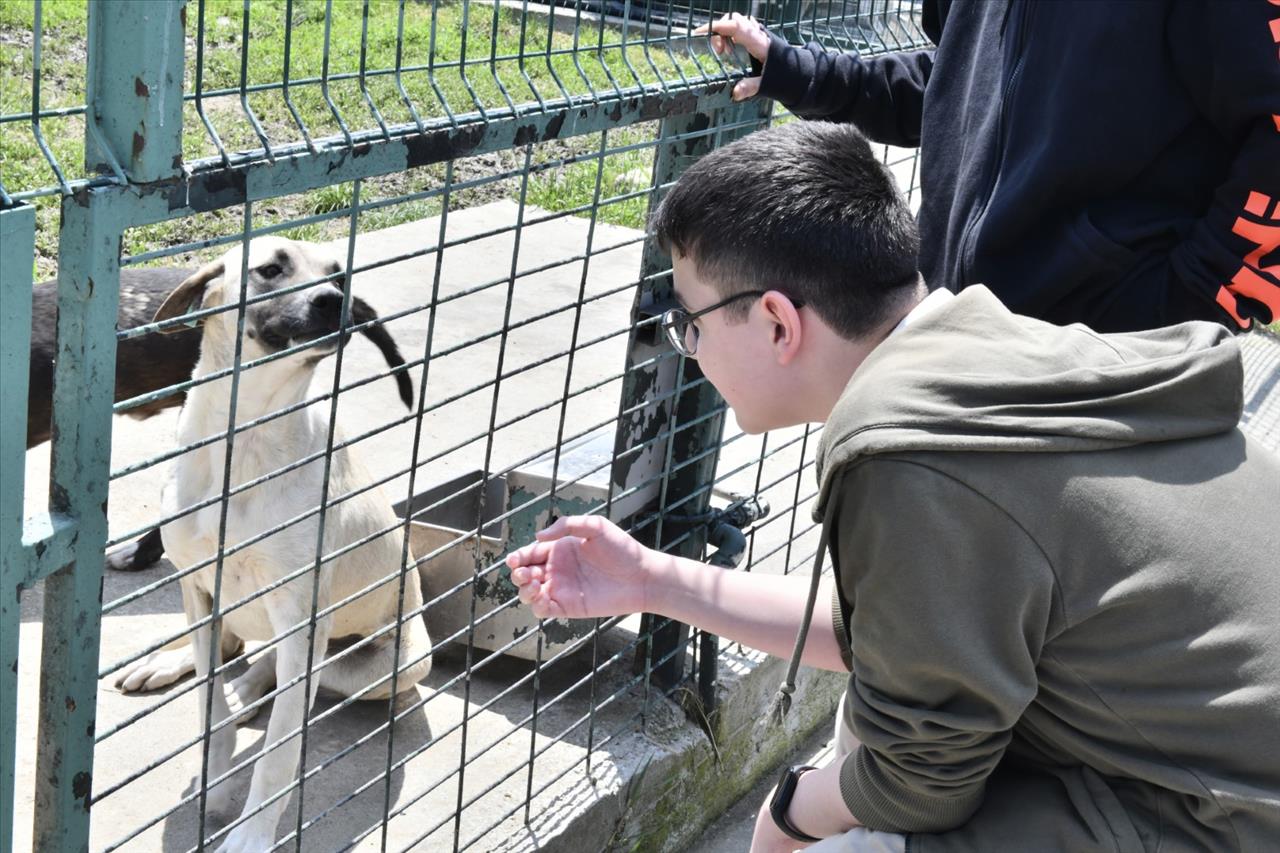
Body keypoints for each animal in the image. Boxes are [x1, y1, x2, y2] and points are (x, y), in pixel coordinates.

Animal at [110, 234, 432, 850]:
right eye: (269, 269)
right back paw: (180, 667)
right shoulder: (199, 591)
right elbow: (209, 708)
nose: (334, 301)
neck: (244, 443)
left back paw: (248, 690)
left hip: (376, 662)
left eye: (339, 274)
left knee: (279, 675)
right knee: (231, 653)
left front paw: (251, 834)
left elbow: (279, 756)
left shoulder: (300, 617)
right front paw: (213, 777)